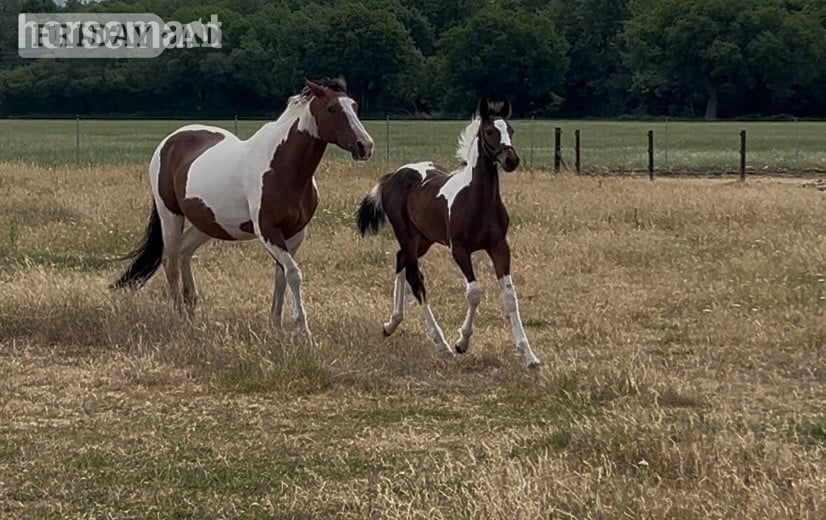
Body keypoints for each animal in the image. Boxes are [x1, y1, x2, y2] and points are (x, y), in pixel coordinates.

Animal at [112, 77, 374, 340]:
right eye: (332, 108)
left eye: (355, 106)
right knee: (171, 259)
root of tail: (170, 141)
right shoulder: (268, 231)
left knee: (184, 252)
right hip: (170, 215)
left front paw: (275, 325)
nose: (365, 146)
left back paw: (191, 309)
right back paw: (180, 317)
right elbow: (293, 274)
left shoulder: (295, 233)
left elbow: (281, 276)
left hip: (207, 223)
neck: (281, 167)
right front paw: (303, 330)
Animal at [356, 99, 542, 367]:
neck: (478, 200)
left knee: (401, 260)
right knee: (415, 279)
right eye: (489, 131)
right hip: (406, 234)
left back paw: (391, 324)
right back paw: (440, 342)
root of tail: (393, 176)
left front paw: (529, 355)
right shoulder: (460, 249)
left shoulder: (499, 247)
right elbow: (474, 293)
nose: (511, 160)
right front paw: (461, 342)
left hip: (423, 239)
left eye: (511, 130)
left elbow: (509, 297)